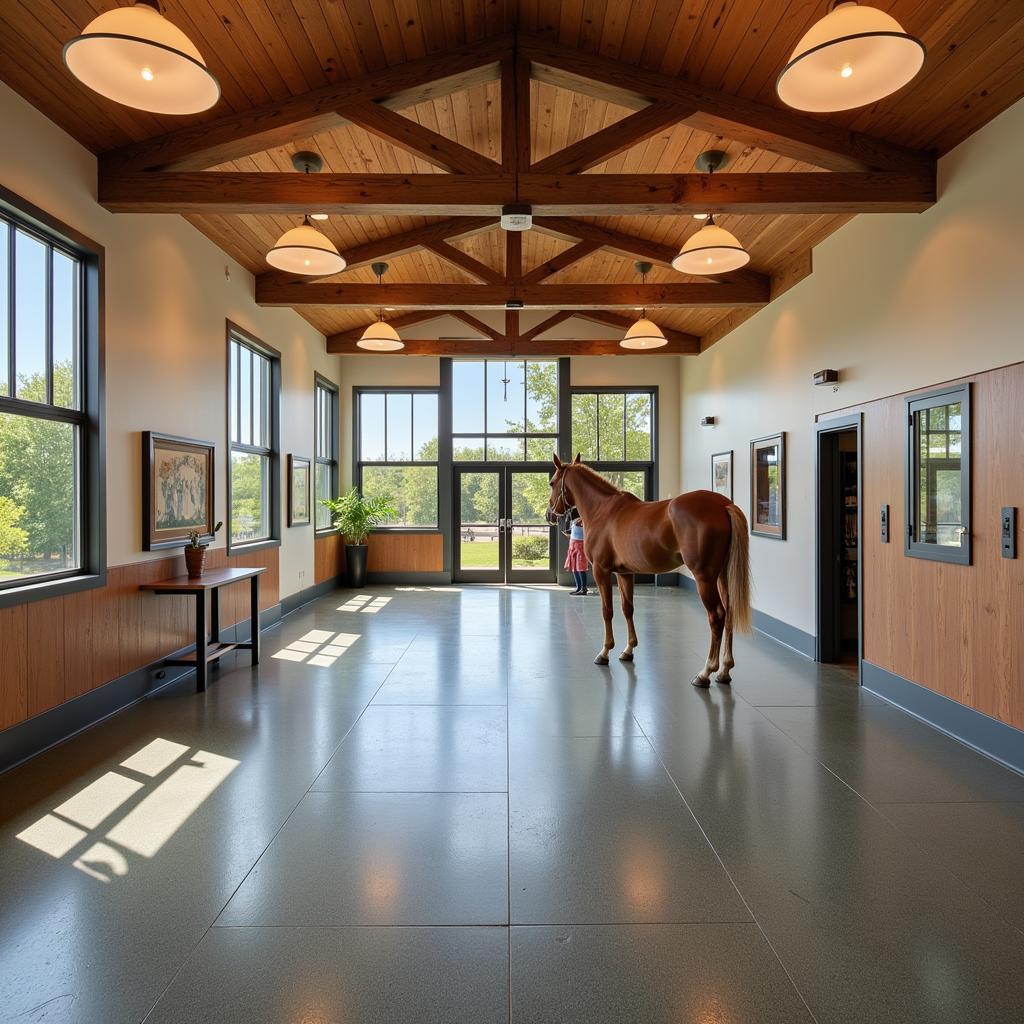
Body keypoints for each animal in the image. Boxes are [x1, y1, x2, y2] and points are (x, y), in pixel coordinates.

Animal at [544, 452, 753, 684]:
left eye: (552, 482)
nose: (549, 515)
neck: (602, 510)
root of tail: (723, 505)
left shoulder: (601, 570)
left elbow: (607, 611)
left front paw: (605, 652)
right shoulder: (625, 573)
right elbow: (628, 609)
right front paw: (628, 650)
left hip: (705, 577)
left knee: (716, 616)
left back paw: (706, 672)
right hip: (723, 576)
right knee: (729, 613)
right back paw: (725, 670)